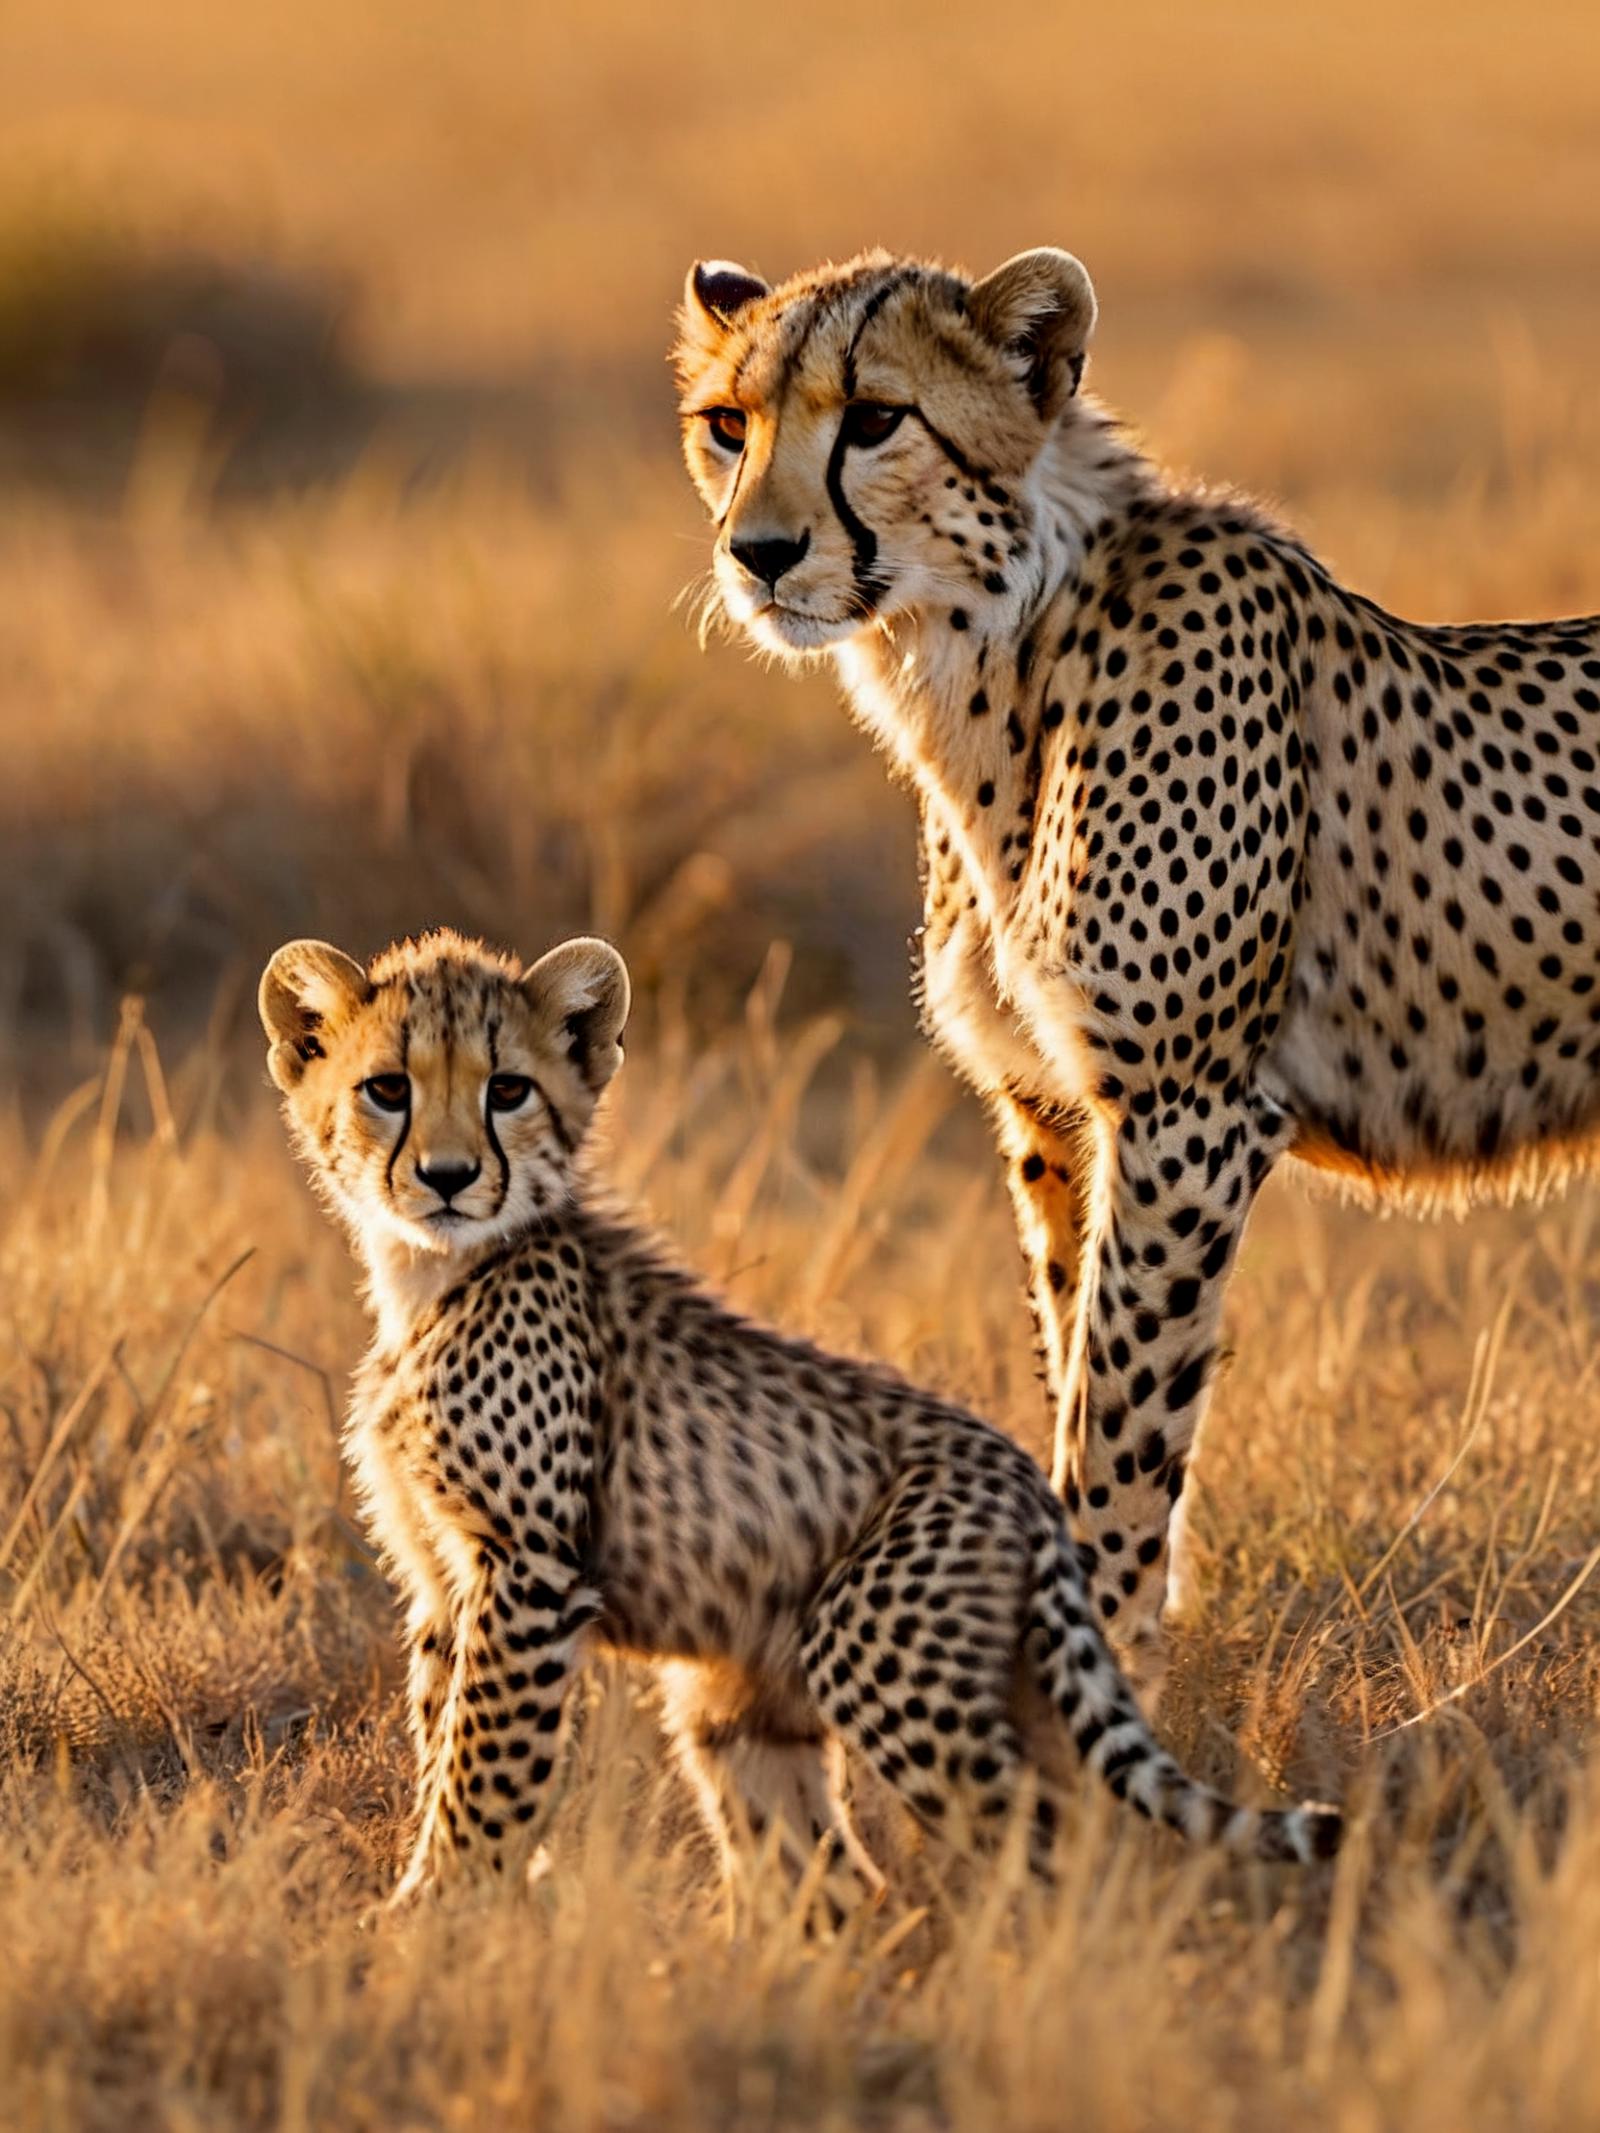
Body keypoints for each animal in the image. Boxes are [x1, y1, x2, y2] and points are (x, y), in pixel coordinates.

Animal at [260, 921, 1339, 1902]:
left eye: (508, 1090)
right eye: (386, 1088)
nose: (445, 1177)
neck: (429, 1272)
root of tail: (1026, 1484)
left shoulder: (527, 1569)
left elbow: (483, 1769)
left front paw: (433, 1914)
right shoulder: (443, 1579)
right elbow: (445, 1738)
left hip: (875, 1646)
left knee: (1032, 1834)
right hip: (746, 1696)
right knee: (833, 1878)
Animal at [674, 242, 1600, 1689]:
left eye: (875, 417)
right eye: (729, 424)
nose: (758, 554)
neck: (991, 648)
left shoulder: (1187, 1113)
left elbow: (1118, 1415)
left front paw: (1097, 1664)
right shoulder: (1051, 1112)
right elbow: (1071, 1355)